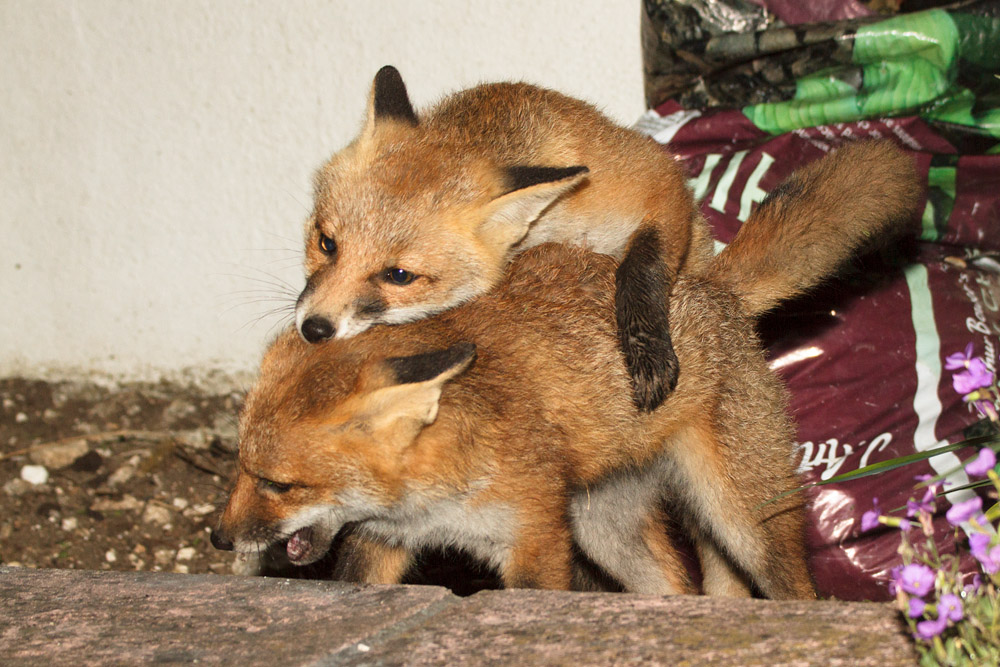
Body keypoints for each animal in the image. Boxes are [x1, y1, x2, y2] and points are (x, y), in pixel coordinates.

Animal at [213, 139, 920, 597]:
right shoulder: (382, 543)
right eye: (239, 470)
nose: (219, 540)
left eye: (280, 485)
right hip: (606, 530)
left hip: (745, 521)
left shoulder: (535, 538)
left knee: (795, 588)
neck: (432, 494)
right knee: (677, 590)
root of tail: (705, 286)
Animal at [294, 65, 720, 412]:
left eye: (399, 276)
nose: (314, 329)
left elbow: (641, 270)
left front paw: (648, 353)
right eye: (326, 243)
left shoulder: (658, 177)